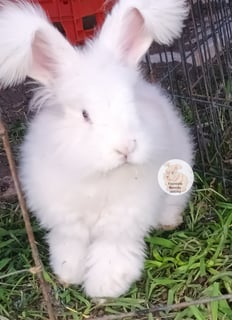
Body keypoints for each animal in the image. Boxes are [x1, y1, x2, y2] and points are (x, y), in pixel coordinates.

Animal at [0, 0, 193, 298]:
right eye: (85, 115)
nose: (125, 148)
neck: (98, 174)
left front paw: (104, 290)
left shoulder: (120, 223)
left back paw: (168, 221)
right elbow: (70, 248)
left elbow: (111, 254)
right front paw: (67, 275)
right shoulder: (68, 222)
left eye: (131, 103)